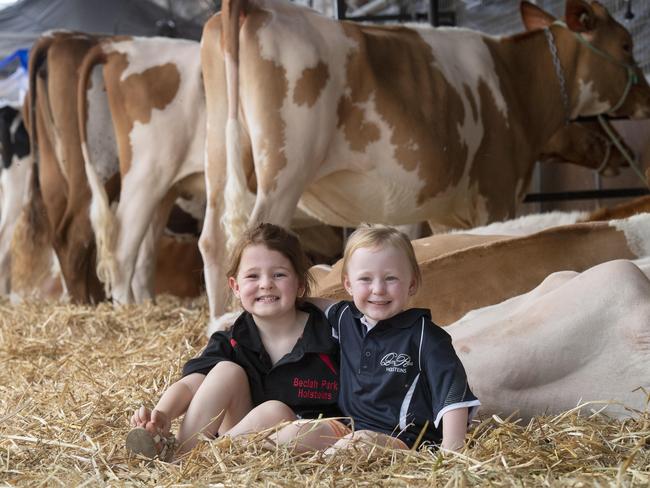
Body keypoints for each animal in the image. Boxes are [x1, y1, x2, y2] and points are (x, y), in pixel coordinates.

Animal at [196, 0, 648, 330]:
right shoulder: (495, 192)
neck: (515, 82)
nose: (646, 99)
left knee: (213, 241)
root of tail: (253, 7)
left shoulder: (441, 209)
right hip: (286, 165)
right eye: (627, 46)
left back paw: (220, 320)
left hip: (218, 150)